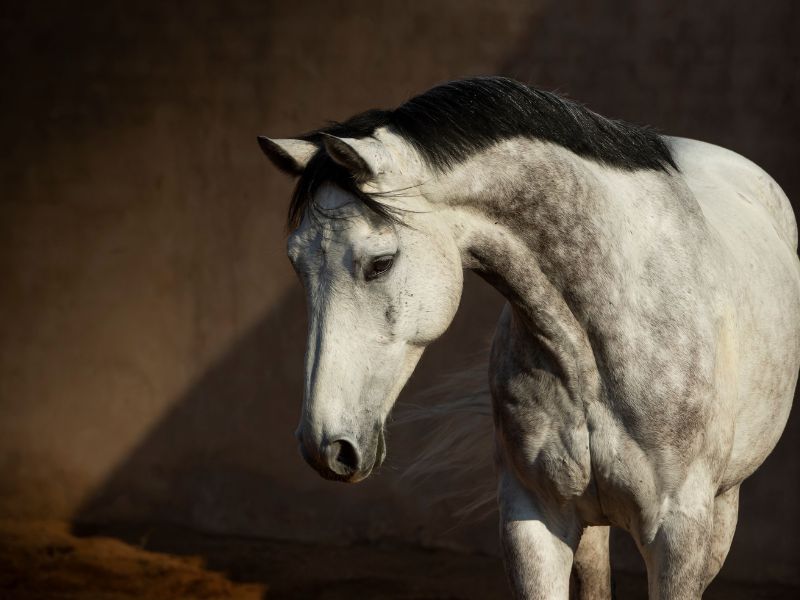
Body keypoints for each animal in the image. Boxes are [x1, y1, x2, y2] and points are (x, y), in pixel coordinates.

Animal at [258, 78, 800, 600]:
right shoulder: (534, 522)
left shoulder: (678, 535)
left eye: (380, 263)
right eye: (296, 262)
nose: (325, 446)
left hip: (722, 510)